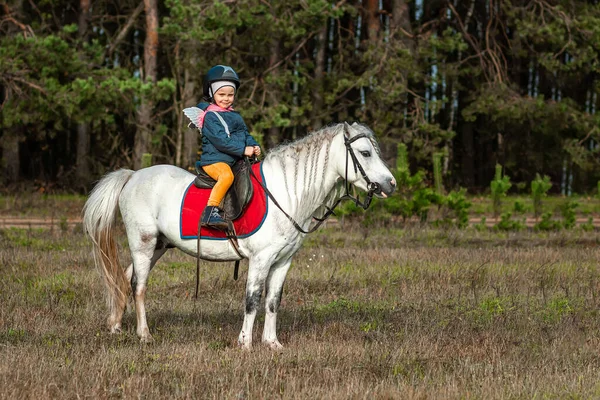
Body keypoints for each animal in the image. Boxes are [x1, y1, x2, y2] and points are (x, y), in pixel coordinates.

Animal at [82, 122, 396, 350]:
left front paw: (272, 343)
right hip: (143, 243)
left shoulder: (283, 262)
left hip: (158, 245)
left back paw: (115, 326)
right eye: (366, 153)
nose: (390, 184)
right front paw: (245, 344)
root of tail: (133, 176)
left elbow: (273, 301)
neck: (286, 193)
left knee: (125, 278)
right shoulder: (260, 260)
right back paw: (144, 334)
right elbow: (252, 299)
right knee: (139, 286)